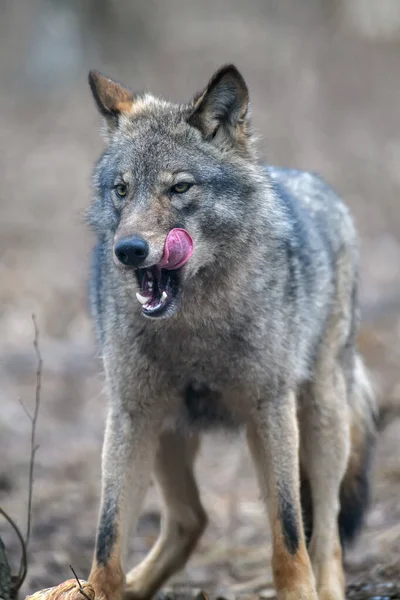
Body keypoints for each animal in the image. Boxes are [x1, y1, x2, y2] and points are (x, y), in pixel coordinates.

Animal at [86, 64, 376, 600]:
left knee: (327, 531)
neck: (195, 325)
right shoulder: (131, 414)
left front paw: (299, 591)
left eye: (180, 188)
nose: (129, 250)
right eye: (122, 189)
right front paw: (97, 589)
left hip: (321, 416)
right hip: (168, 429)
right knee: (191, 520)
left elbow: (289, 534)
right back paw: (135, 586)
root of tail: (307, 179)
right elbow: (108, 539)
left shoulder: (270, 409)